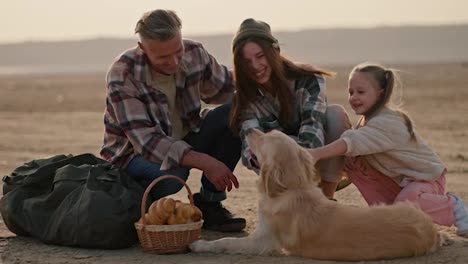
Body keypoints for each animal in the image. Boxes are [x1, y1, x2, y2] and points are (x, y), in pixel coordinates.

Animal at [191, 129, 446, 260]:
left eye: (263, 139)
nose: (247, 129)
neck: (293, 187)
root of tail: (431, 231)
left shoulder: (262, 241)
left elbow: (226, 242)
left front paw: (200, 245)